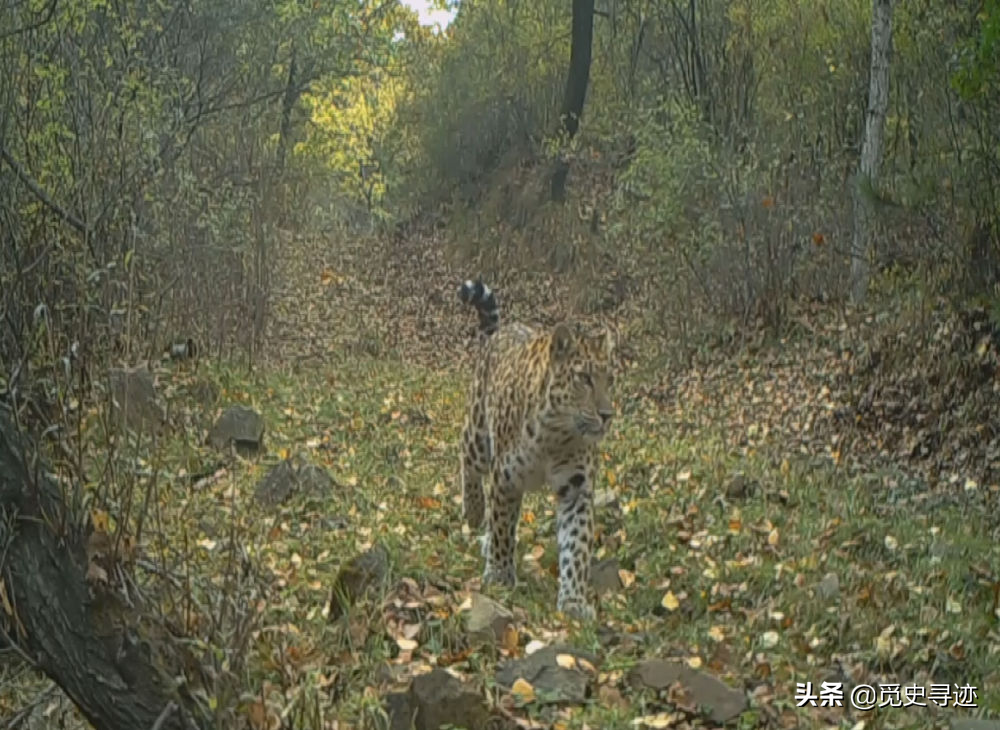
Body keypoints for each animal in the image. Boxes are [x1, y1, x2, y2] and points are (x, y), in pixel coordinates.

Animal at [456, 276, 612, 616]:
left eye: (611, 378)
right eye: (584, 378)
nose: (608, 415)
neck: (555, 435)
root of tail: (499, 332)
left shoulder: (577, 487)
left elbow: (577, 545)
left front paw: (574, 600)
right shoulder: (505, 477)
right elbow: (503, 527)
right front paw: (500, 576)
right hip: (479, 437)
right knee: (467, 461)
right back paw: (474, 511)